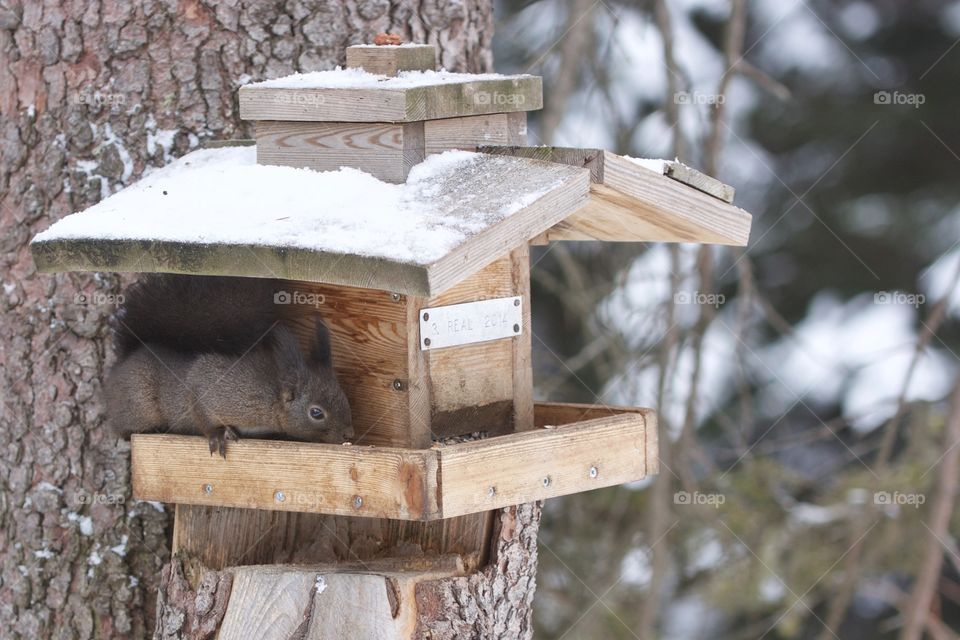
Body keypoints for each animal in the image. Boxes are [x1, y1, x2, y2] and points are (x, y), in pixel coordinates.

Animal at [102, 272, 356, 458]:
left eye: (344, 397)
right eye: (316, 412)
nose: (349, 434)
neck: (271, 396)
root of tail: (125, 359)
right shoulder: (215, 386)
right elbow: (199, 406)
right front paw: (216, 435)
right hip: (138, 404)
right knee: (122, 427)